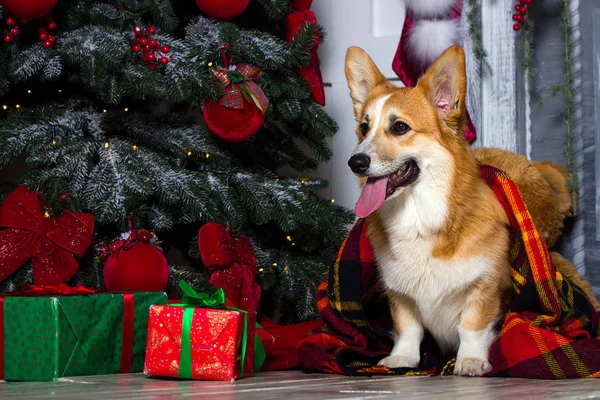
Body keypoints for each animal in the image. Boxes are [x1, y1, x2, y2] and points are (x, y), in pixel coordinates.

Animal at [344, 45, 564, 376]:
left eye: (399, 127)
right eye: (363, 127)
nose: (355, 162)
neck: (419, 217)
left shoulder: (485, 286)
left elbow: (471, 327)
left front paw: (470, 360)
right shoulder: (400, 294)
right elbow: (408, 328)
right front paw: (402, 358)